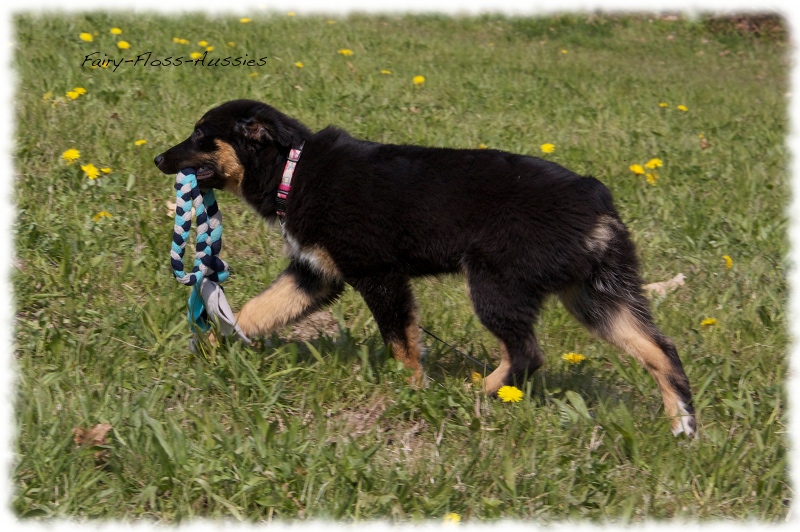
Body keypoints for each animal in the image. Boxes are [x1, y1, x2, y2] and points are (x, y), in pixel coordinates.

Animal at [155, 98, 692, 436]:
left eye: (201, 136)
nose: (158, 157)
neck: (293, 168)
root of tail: (595, 196)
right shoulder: (316, 275)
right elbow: (252, 311)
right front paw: (211, 348)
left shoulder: (379, 275)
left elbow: (400, 342)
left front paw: (413, 390)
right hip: (593, 295)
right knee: (660, 350)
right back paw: (682, 423)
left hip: (495, 283)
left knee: (527, 352)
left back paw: (480, 392)